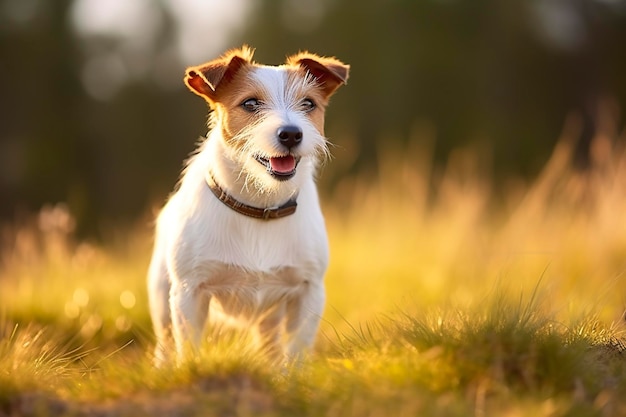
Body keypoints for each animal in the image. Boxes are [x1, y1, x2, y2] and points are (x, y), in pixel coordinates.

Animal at [148, 46, 348, 364]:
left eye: (308, 103)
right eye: (250, 103)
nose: (291, 134)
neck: (260, 205)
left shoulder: (309, 291)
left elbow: (297, 349)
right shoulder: (189, 293)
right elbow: (189, 347)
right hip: (162, 299)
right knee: (165, 345)